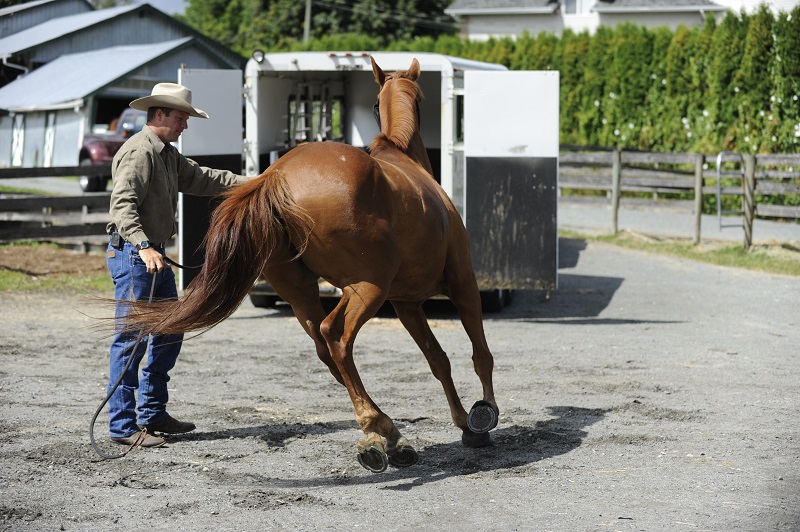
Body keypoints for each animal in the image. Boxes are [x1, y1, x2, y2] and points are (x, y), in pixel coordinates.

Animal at [119, 57, 499, 473]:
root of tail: (275, 177)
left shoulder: (408, 305)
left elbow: (438, 360)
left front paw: (463, 421)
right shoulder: (462, 283)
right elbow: (481, 355)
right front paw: (482, 417)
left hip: (304, 292)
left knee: (324, 346)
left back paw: (384, 436)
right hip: (367, 288)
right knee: (337, 337)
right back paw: (380, 430)